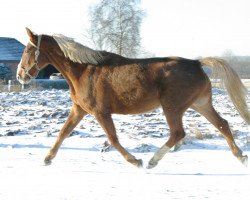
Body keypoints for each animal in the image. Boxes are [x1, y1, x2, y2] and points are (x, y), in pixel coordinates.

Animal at [16, 27, 248, 169]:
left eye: (27, 49)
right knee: (223, 124)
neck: (84, 71)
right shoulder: (79, 110)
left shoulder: (101, 112)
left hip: (173, 108)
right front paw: (47, 158)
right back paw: (241, 157)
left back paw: (153, 160)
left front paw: (135, 161)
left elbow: (112, 138)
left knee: (178, 133)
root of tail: (197, 63)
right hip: (201, 104)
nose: (20, 75)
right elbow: (64, 132)